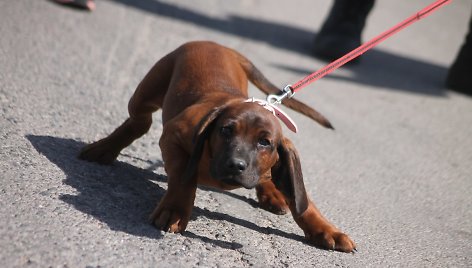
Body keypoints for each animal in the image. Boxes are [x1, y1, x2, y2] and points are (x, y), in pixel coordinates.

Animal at [79, 40, 356, 252]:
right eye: (225, 130)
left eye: (265, 142)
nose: (236, 165)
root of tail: (221, 45)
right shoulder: (173, 135)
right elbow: (184, 177)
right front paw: (175, 210)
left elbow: (304, 203)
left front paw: (327, 230)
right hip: (147, 89)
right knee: (139, 121)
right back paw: (104, 148)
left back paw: (272, 193)